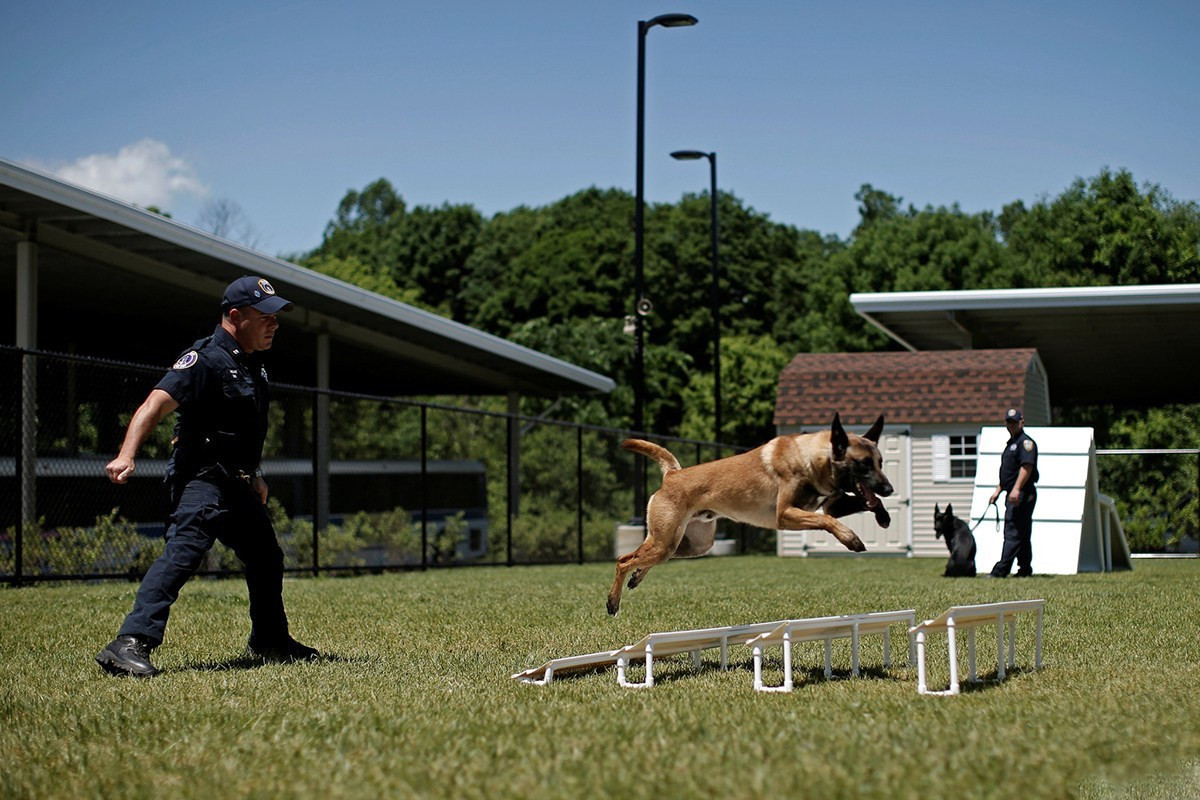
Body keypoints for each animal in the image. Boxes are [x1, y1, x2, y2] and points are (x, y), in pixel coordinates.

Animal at [609, 412, 892, 614]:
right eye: (863, 464)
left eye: (880, 463)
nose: (889, 488)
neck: (810, 456)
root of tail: (673, 474)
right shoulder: (785, 514)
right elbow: (827, 519)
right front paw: (850, 538)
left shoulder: (832, 503)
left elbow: (863, 505)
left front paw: (883, 517)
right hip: (667, 540)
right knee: (623, 559)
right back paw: (613, 602)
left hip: (688, 544)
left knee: (640, 557)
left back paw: (637, 577)